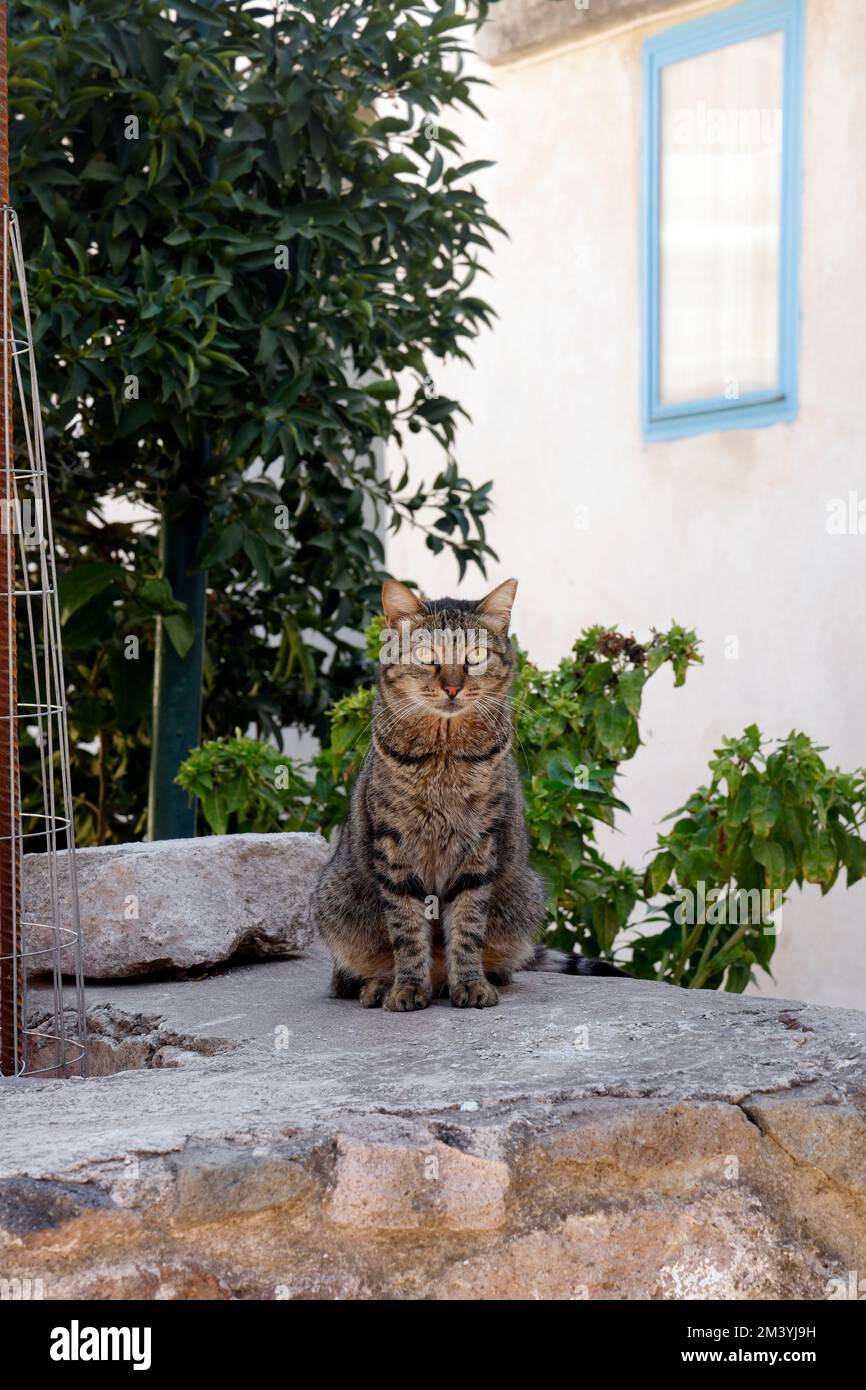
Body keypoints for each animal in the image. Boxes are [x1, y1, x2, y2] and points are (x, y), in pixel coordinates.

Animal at [315, 575, 625, 1011]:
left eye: (475, 655)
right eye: (426, 655)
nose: (452, 687)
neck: (445, 757)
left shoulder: (480, 845)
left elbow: (466, 926)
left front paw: (470, 984)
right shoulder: (394, 846)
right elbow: (407, 931)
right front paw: (408, 987)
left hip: (525, 895)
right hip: (335, 897)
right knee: (352, 972)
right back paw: (378, 984)